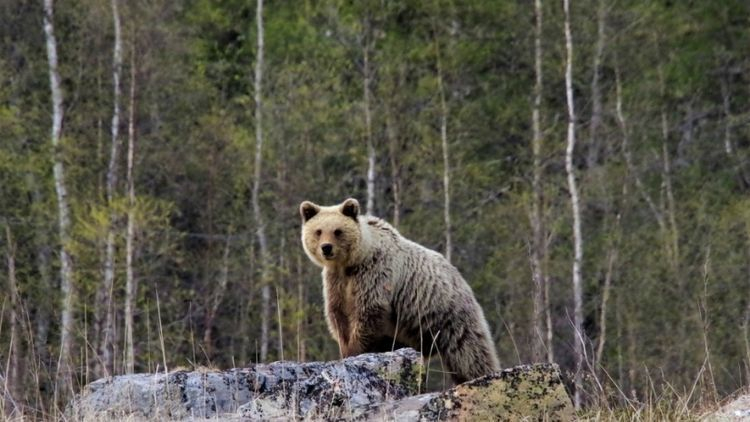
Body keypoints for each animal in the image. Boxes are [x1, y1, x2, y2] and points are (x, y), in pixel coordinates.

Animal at [300, 197, 500, 384]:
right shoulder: (337, 283)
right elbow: (338, 316)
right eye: (318, 231)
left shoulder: (374, 274)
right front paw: (345, 349)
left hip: (449, 317)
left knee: (469, 353)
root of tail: (460, 278)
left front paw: (355, 350)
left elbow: (367, 312)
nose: (326, 248)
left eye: (337, 231)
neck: (351, 263)